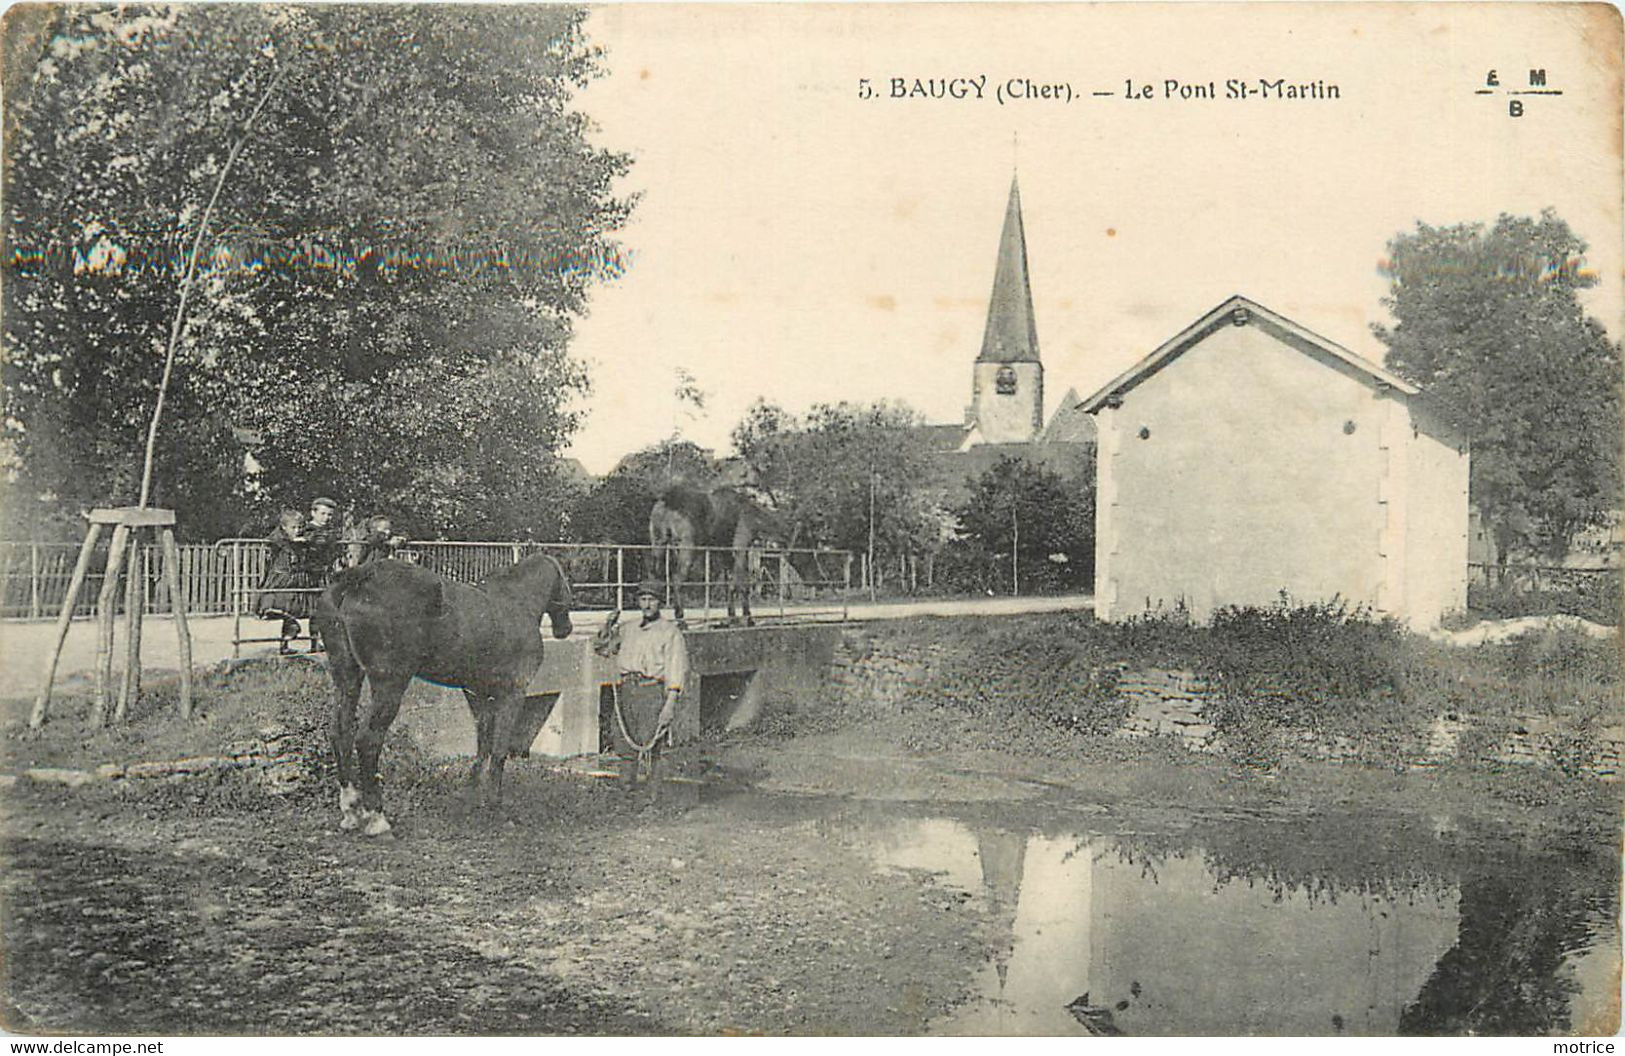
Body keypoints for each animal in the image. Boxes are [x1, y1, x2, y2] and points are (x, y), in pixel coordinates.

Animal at [313, 552, 575, 831]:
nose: (565, 628)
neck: (518, 601)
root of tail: (356, 578)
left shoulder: (477, 694)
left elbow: (483, 744)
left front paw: (471, 793)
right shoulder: (513, 693)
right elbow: (499, 749)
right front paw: (495, 803)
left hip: (347, 677)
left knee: (340, 733)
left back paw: (351, 808)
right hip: (389, 684)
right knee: (368, 740)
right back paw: (377, 817)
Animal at [646, 484, 767, 623]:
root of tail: (665, 503)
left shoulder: (724, 551)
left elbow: (730, 582)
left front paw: (732, 616)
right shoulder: (740, 547)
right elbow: (742, 582)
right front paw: (748, 618)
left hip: (658, 543)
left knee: (654, 573)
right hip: (687, 546)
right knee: (676, 578)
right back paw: (680, 616)